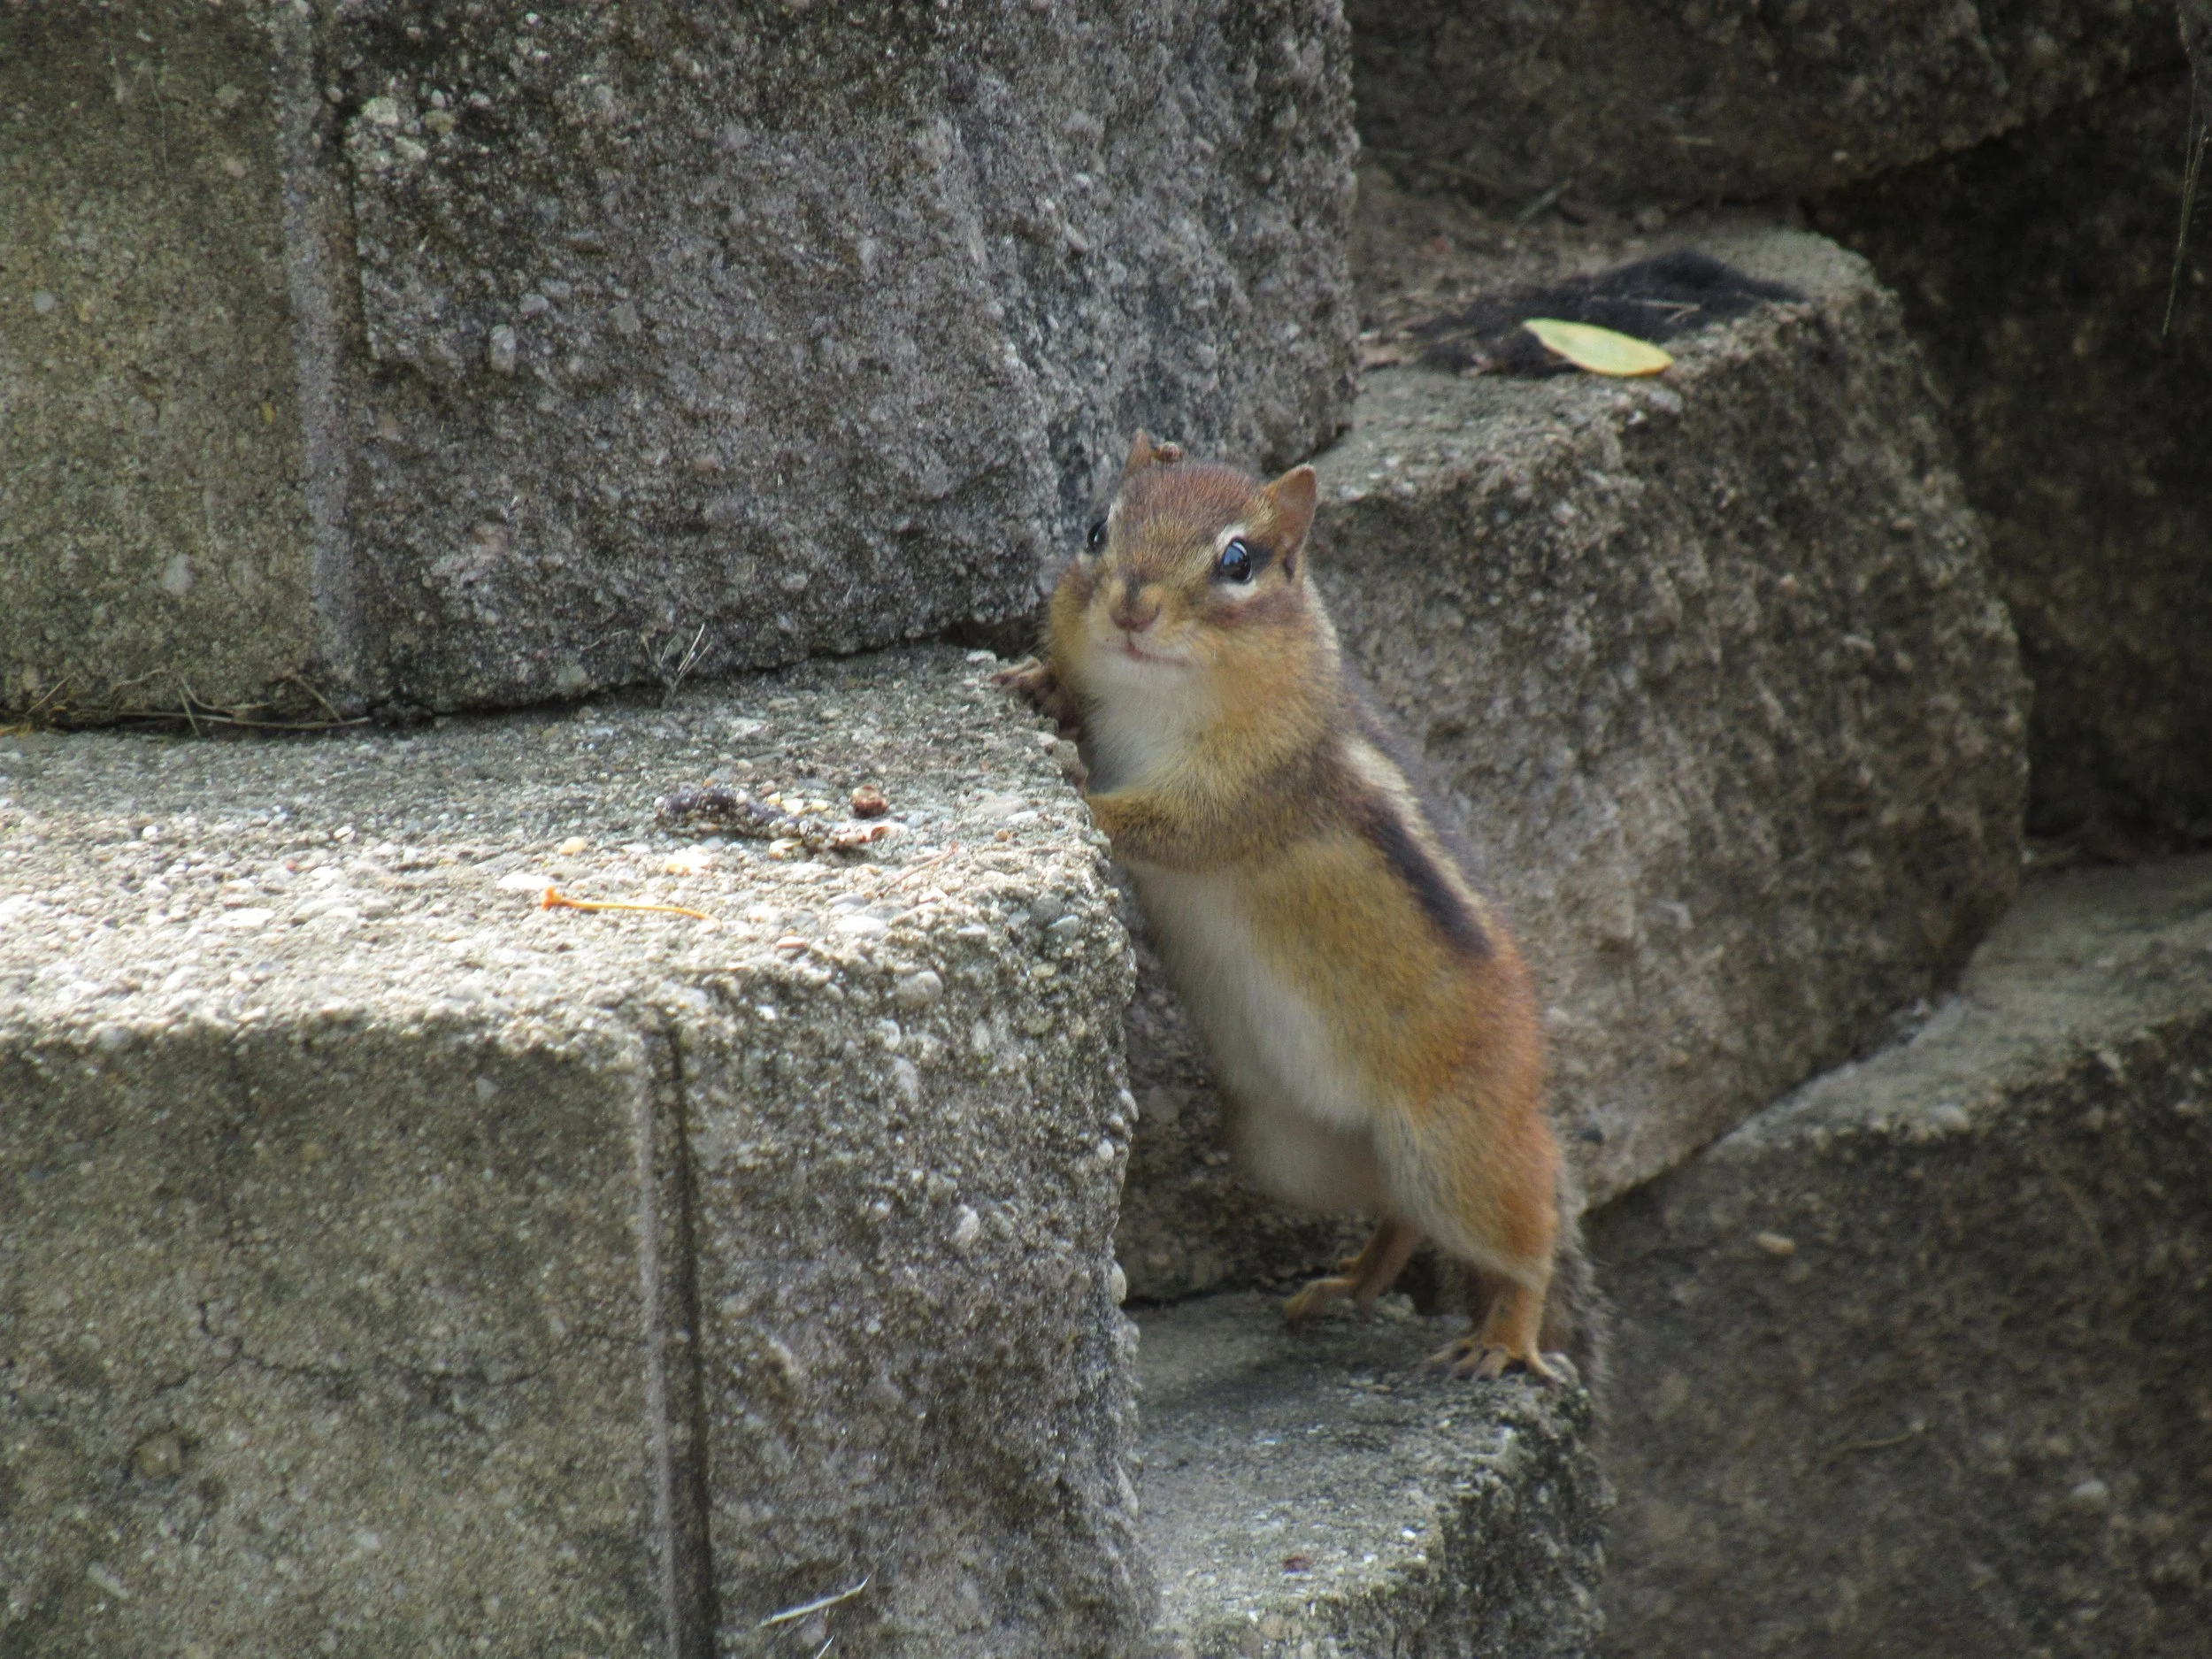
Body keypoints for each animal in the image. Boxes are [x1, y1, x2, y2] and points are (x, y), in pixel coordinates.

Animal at [1003, 432, 1601, 1387]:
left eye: (1237, 562)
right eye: (1096, 529)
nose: (1131, 606)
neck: (1152, 696)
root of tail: (1530, 1086)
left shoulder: (1253, 787)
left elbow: (1177, 826)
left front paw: (1084, 791)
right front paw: (1040, 683)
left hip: (1455, 1145)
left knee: (1525, 1236)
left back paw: (1503, 1337)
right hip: (1292, 1155)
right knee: (1398, 1209)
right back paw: (1347, 1284)